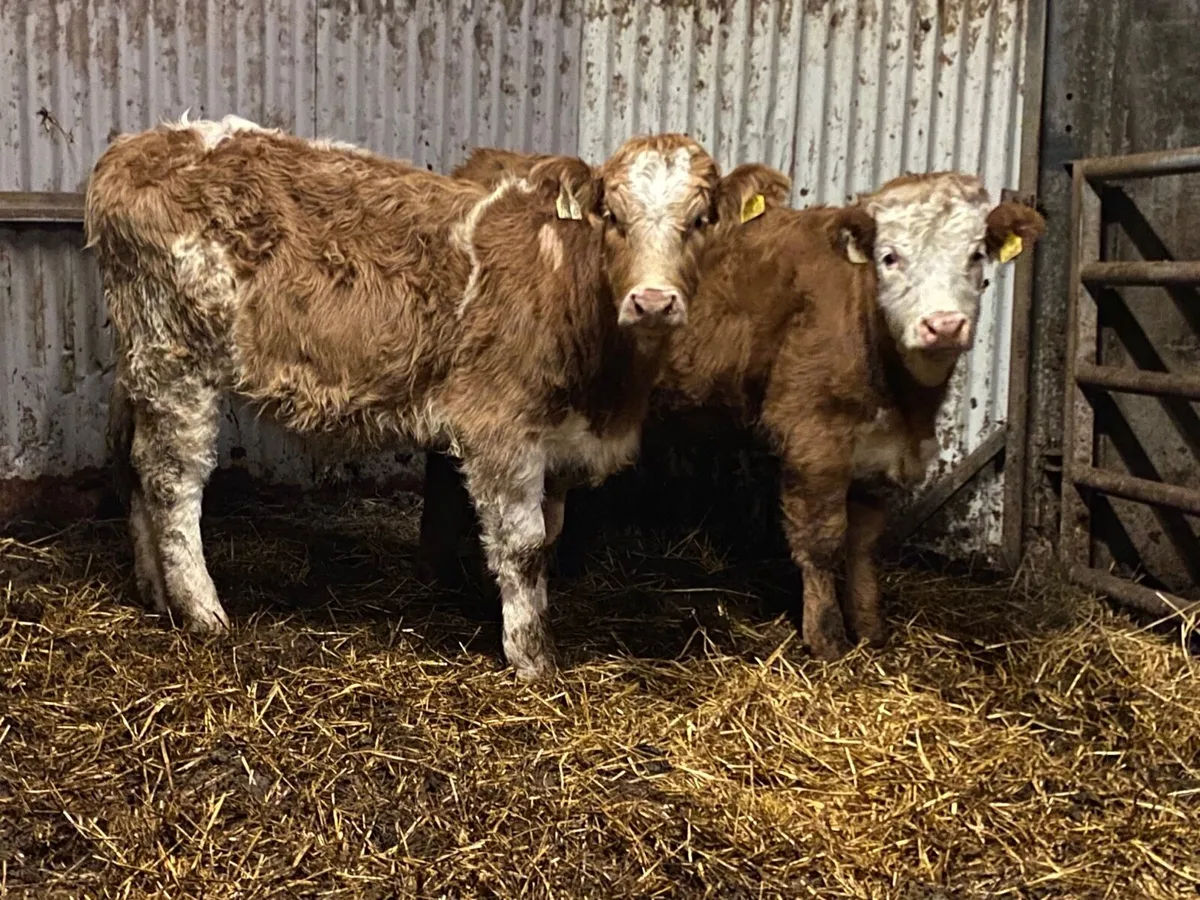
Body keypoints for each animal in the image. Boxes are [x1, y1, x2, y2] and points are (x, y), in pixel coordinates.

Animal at [85, 114, 780, 681]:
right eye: (611, 214)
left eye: (702, 219)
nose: (653, 301)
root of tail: (136, 146)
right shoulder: (500, 426)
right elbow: (524, 545)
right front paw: (533, 660)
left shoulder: (555, 439)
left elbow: (549, 539)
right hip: (178, 356)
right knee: (172, 480)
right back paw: (202, 611)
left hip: (144, 362)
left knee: (133, 464)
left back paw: (154, 594)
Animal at [419, 148, 1046, 660]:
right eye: (890, 257)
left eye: (977, 256)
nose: (943, 325)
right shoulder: (811, 434)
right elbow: (823, 540)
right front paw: (827, 639)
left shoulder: (881, 454)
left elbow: (865, 543)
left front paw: (871, 629)